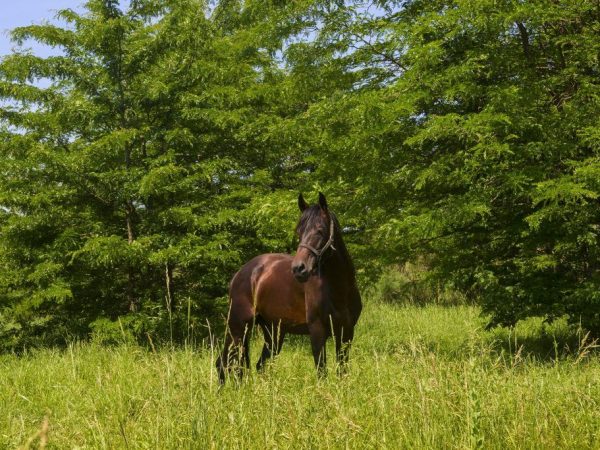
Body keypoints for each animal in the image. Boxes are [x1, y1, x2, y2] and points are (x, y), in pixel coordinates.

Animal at [218, 192, 364, 382]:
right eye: (299, 232)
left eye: (320, 230)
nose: (298, 268)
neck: (339, 290)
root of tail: (239, 274)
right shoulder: (317, 331)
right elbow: (322, 372)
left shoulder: (346, 332)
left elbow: (342, 371)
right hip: (238, 327)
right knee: (225, 363)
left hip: (273, 332)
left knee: (258, 365)